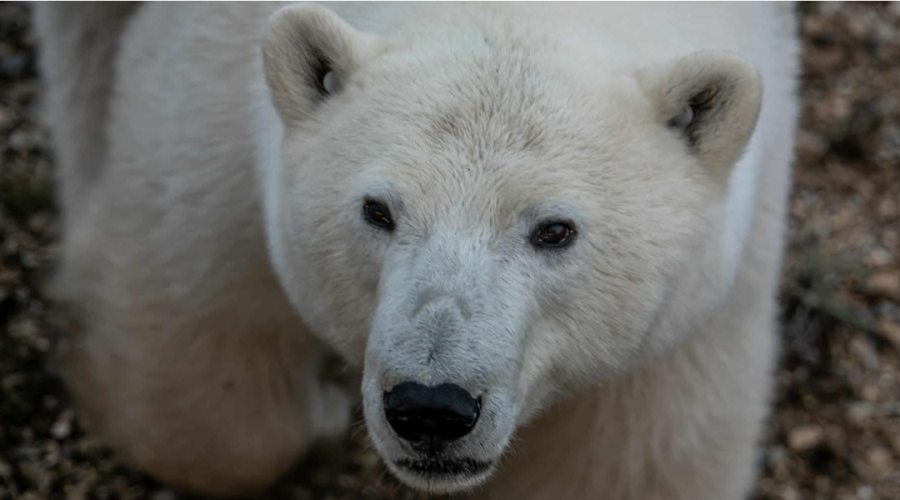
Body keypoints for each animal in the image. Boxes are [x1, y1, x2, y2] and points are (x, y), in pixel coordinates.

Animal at [34, 2, 800, 499]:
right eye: (378, 210)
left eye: (555, 229)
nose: (432, 407)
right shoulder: (210, 114)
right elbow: (198, 358)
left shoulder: (697, 305)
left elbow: (622, 464)